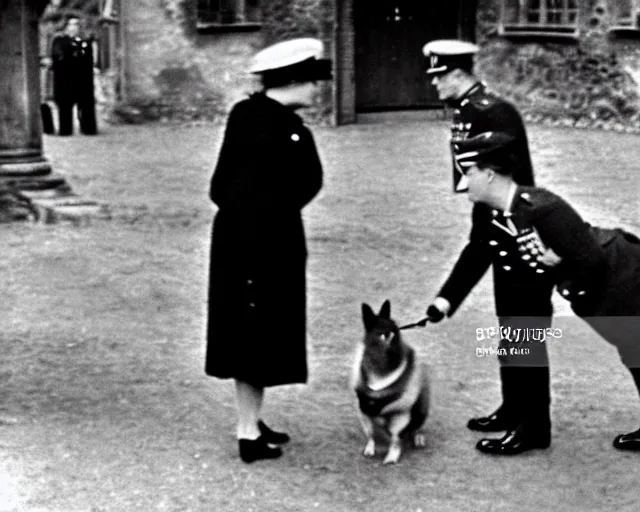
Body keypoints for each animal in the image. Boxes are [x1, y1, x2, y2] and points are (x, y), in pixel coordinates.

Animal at [350, 300, 430, 464]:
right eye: (383, 335)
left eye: (395, 333)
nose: (403, 354)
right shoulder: (363, 409)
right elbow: (371, 434)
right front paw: (370, 448)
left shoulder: (401, 412)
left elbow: (396, 438)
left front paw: (392, 456)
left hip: (421, 407)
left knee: (415, 427)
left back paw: (417, 437)